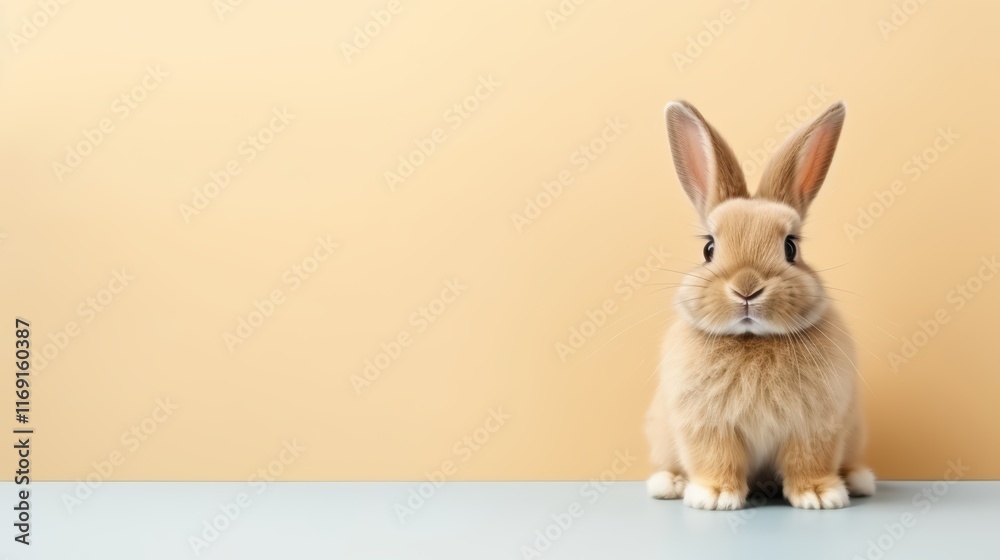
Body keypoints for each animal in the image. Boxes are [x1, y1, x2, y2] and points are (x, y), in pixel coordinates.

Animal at [644, 100, 875, 510]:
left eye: (791, 248)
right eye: (708, 249)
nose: (747, 289)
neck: (754, 340)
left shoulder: (815, 426)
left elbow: (808, 461)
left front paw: (820, 496)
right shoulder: (707, 426)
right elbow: (716, 459)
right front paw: (714, 497)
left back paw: (858, 480)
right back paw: (668, 483)